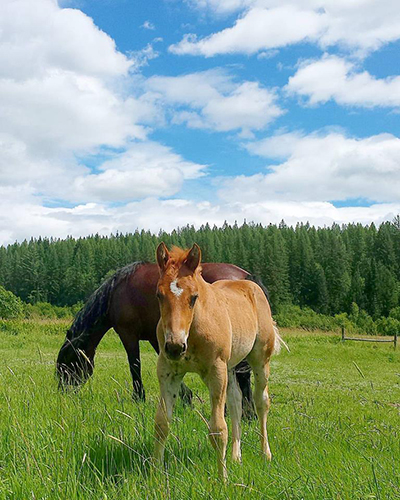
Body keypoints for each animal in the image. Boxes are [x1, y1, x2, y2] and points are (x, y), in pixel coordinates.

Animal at [56, 258, 268, 410]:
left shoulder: (128, 334)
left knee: (242, 374)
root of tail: (246, 277)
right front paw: (185, 397)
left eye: (66, 363)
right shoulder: (156, 336)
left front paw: (139, 397)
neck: (115, 292)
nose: (62, 392)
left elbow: (134, 365)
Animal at [154, 244, 284, 478]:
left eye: (194, 297)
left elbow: (217, 429)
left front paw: (222, 479)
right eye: (159, 295)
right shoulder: (168, 370)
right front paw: (156, 472)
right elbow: (162, 423)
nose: (175, 347)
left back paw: (265, 454)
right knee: (235, 403)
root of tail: (252, 285)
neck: (193, 332)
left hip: (260, 360)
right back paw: (235, 456)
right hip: (231, 367)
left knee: (261, 401)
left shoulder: (216, 371)